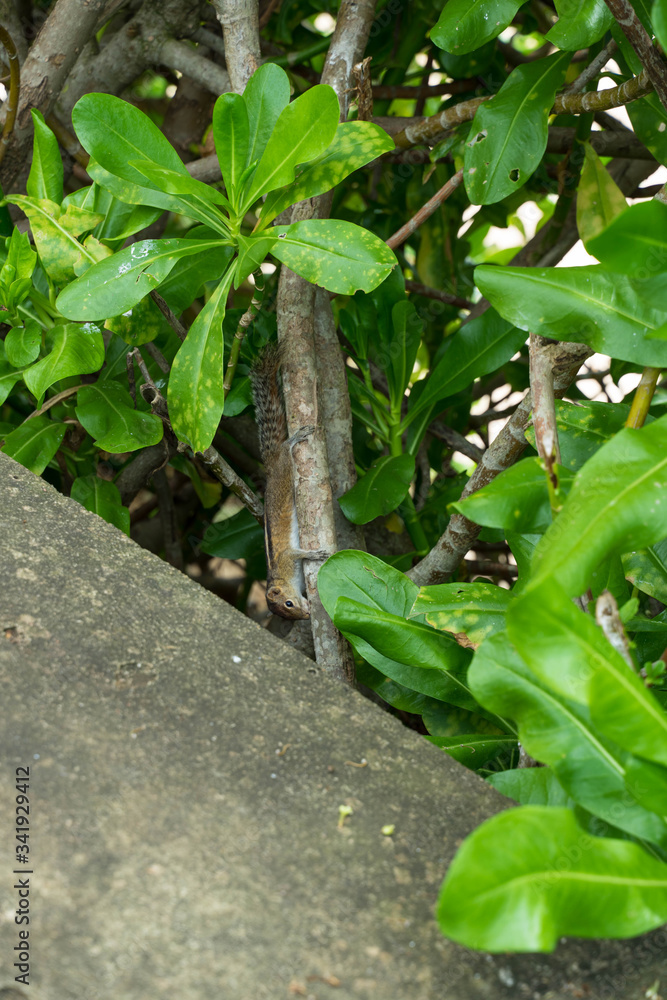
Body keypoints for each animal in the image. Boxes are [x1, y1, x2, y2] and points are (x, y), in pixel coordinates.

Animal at [250, 343, 328, 620]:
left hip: (284, 468)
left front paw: (315, 553)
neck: (280, 578)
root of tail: (270, 467)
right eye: (287, 610)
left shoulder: (286, 556)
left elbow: (298, 552)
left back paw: (295, 438)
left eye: (289, 603)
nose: (306, 615)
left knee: (285, 448)